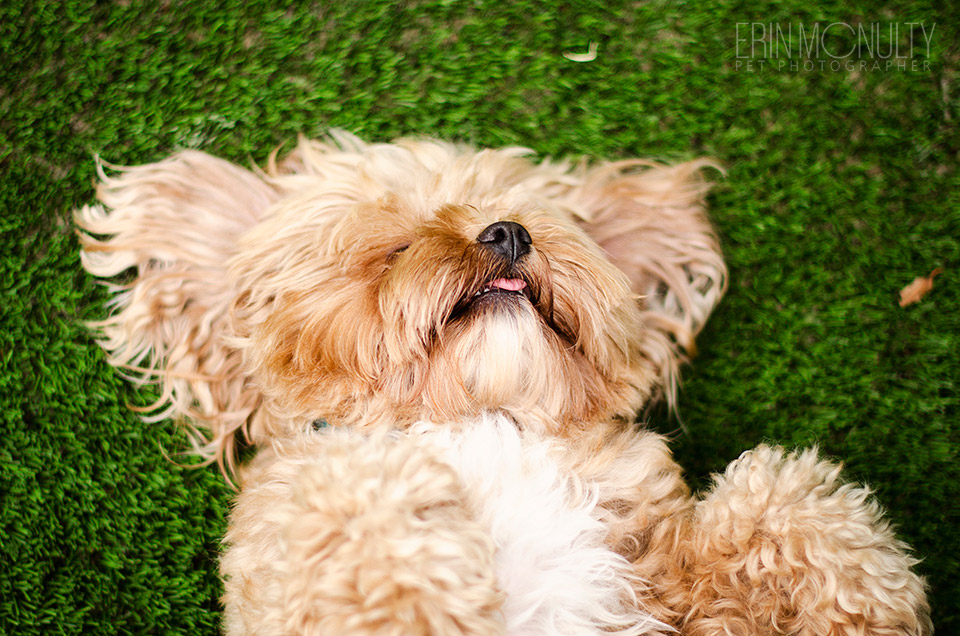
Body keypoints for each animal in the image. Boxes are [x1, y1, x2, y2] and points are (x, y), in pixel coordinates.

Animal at [79, 132, 932, 632]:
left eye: (529, 219)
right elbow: (355, 512)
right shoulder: (315, 508)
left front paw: (868, 595)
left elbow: (790, 507)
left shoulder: (664, 575)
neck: (487, 422)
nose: (509, 233)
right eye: (395, 248)